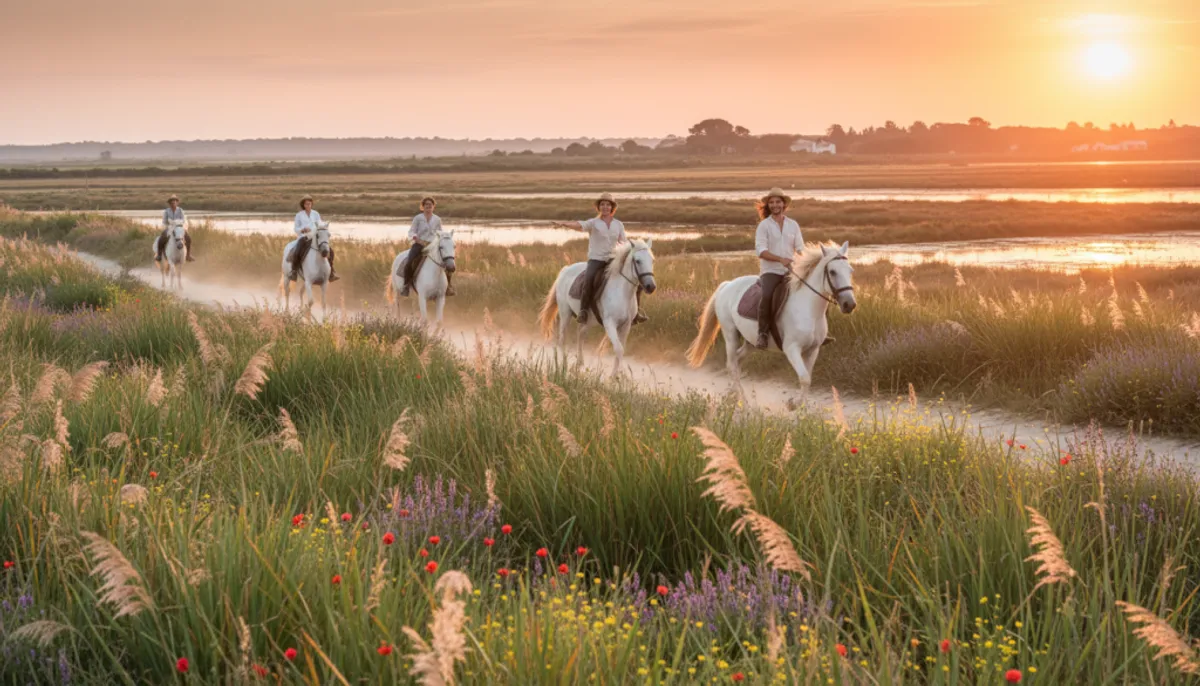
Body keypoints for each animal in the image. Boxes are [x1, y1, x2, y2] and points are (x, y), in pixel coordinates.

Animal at [537, 239, 657, 375]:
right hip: (565, 314)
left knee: (580, 334)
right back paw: (563, 366)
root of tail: (565, 270)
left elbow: (621, 349)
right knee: (562, 339)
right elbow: (619, 349)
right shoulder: (610, 323)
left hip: (589, 320)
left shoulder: (626, 325)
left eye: (652, 260)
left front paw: (616, 374)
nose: (651, 287)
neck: (622, 292)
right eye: (637, 261)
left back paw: (580, 362)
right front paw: (618, 375)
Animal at [686, 241, 856, 393]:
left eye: (850, 271)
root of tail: (726, 285)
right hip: (730, 334)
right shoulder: (791, 348)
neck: (809, 310)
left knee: (737, 361)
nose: (850, 304)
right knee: (732, 365)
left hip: (750, 341)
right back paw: (744, 403)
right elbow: (804, 379)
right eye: (832, 272)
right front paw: (793, 405)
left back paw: (732, 394)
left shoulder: (813, 350)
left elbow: (807, 380)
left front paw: (799, 406)